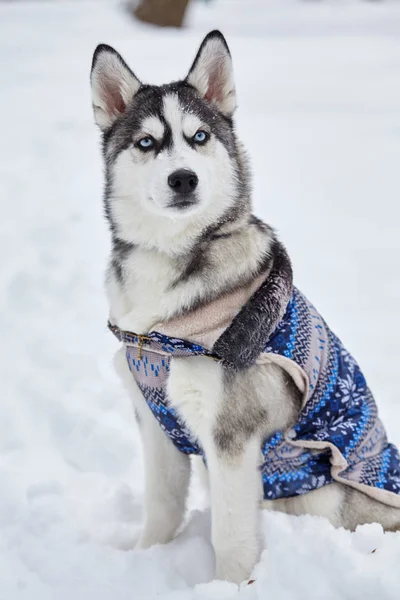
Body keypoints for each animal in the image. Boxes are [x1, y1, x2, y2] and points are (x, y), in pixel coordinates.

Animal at [90, 31, 400, 580]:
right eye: (147, 142)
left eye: (198, 137)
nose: (184, 179)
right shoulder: (155, 422)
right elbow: (161, 505)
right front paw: (145, 560)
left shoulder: (230, 435)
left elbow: (231, 537)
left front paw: (231, 585)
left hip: (323, 491)